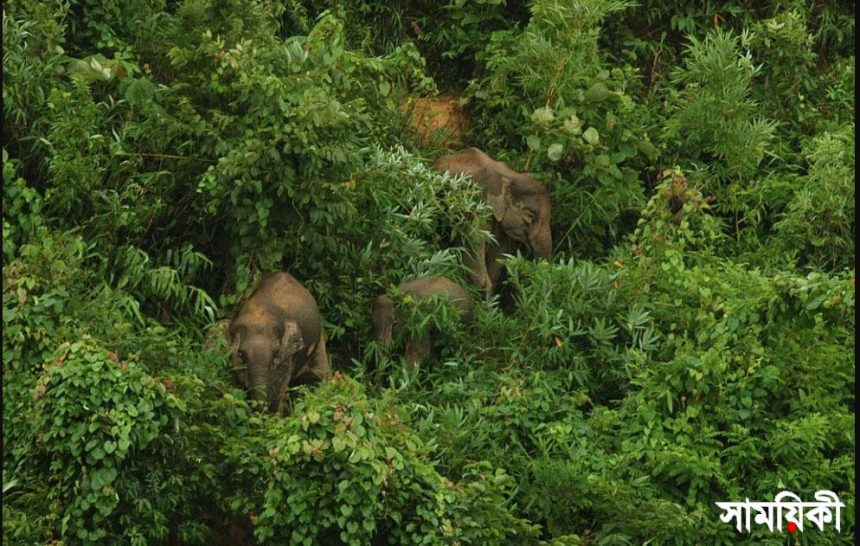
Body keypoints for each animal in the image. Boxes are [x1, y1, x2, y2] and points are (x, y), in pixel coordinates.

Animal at [220, 272, 330, 412]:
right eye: (241, 353)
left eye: (276, 353)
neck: (259, 312)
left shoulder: (287, 355)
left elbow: (279, 385)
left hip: (319, 339)